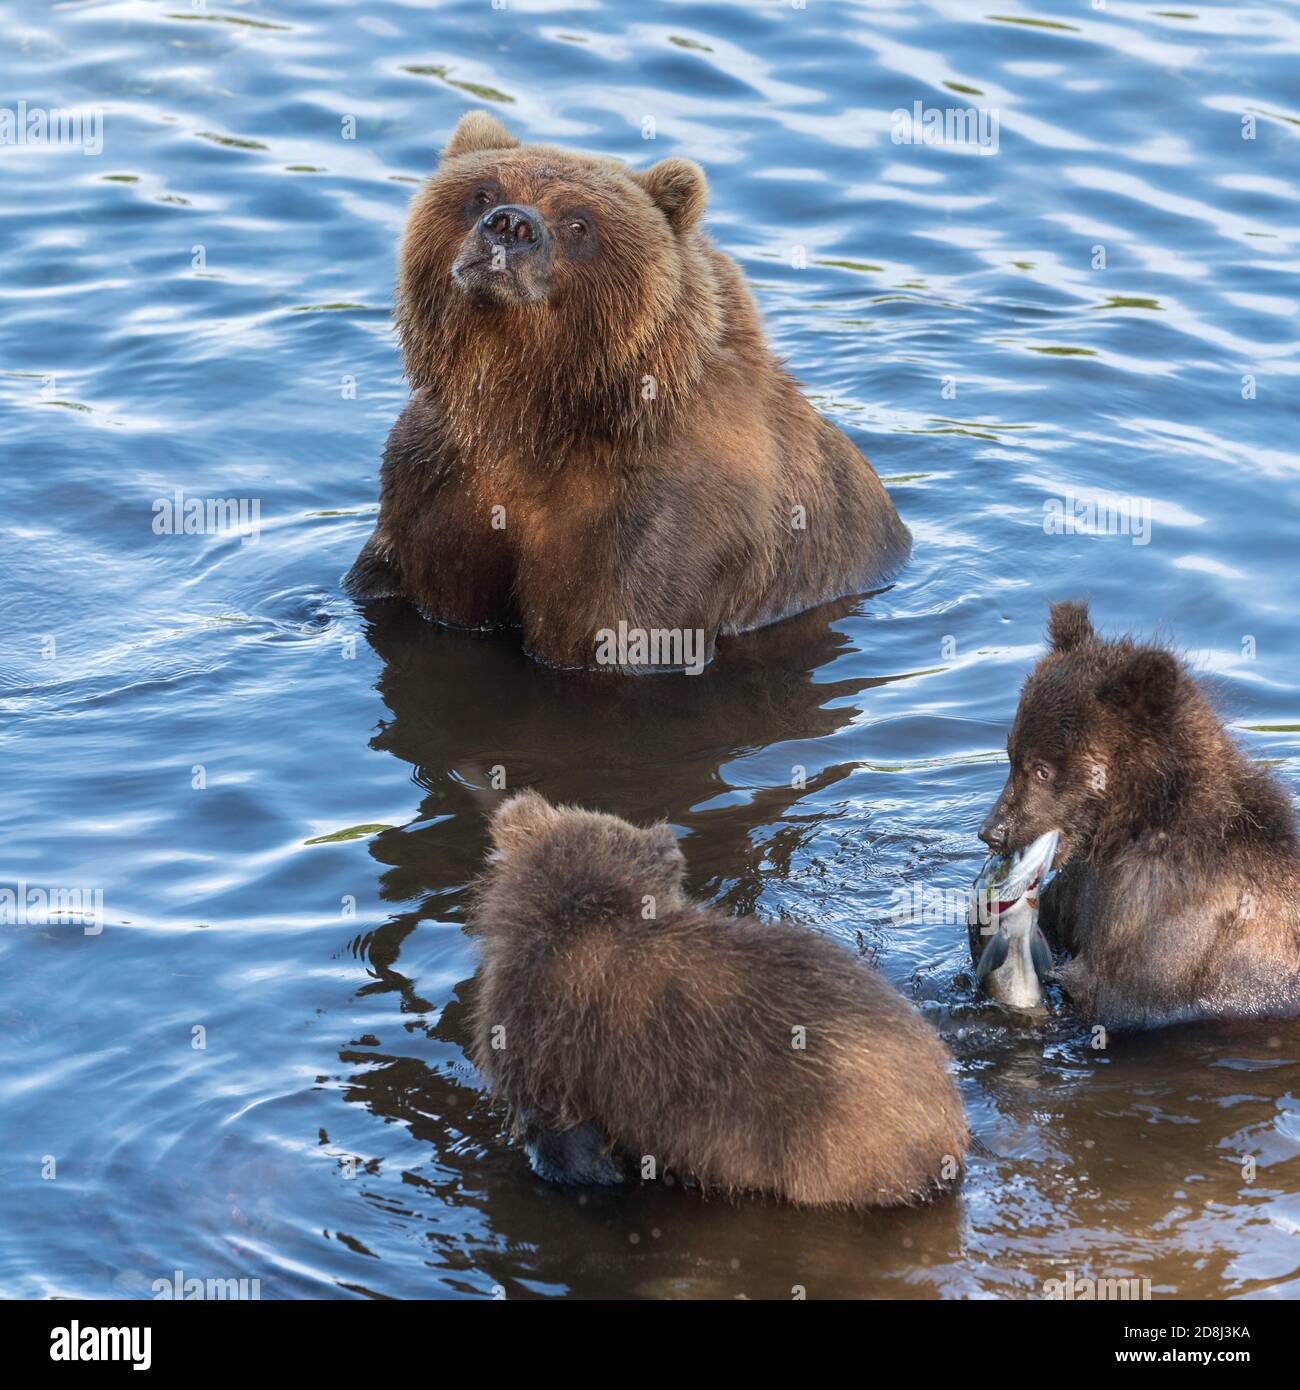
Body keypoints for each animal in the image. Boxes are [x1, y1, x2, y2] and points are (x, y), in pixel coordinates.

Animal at [344, 110, 910, 672]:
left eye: (579, 222)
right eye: (483, 193)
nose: (510, 225)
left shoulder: (663, 517)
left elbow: (620, 631)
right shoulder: (437, 479)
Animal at [978, 600, 1300, 1029]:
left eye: (1041, 769)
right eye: (1013, 755)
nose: (992, 831)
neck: (1136, 822)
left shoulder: (1163, 920)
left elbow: (1115, 997)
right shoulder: (1086, 882)